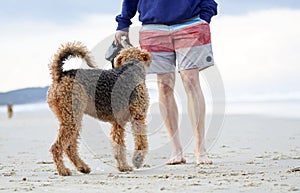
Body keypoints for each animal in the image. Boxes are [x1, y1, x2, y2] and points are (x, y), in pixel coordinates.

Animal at [47, 41, 151, 176]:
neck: (132, 67)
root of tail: (60, 75)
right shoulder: (138, 117)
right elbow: (141, 142)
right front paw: (137, 161)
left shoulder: (118, 123)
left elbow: (118, 146)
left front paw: (123, 167)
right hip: (71, 118)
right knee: (57, 147)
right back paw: (63, 170)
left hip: (72, 119)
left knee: (70, 147)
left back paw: (83, 167)